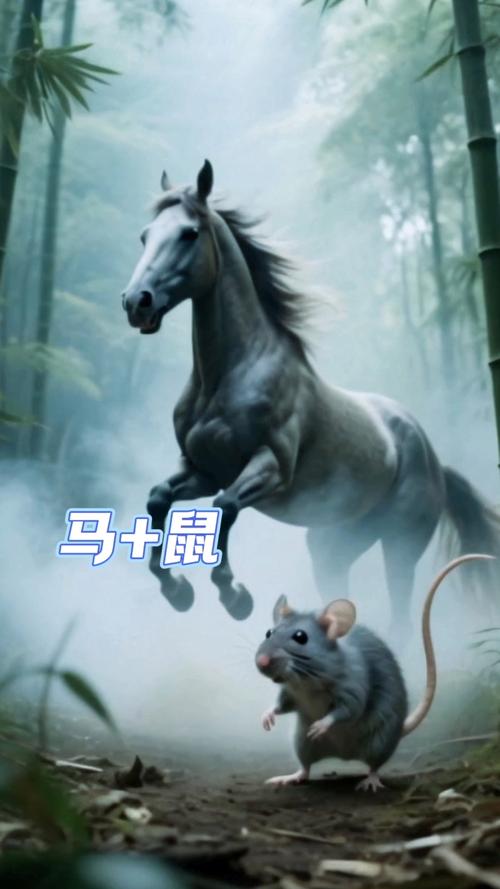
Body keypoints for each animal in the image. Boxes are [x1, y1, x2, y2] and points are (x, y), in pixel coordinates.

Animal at [121, 159, 500, 635]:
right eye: (144, 235)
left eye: (189, 233)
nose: (137, 302)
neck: (227, 376)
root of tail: (433, 458)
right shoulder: (203, 470)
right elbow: (158, 499)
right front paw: (177, 591)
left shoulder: (271, 468)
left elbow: (226, 507)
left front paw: (235, 596)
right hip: (333, 545)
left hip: (400, 545)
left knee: (401, 614)